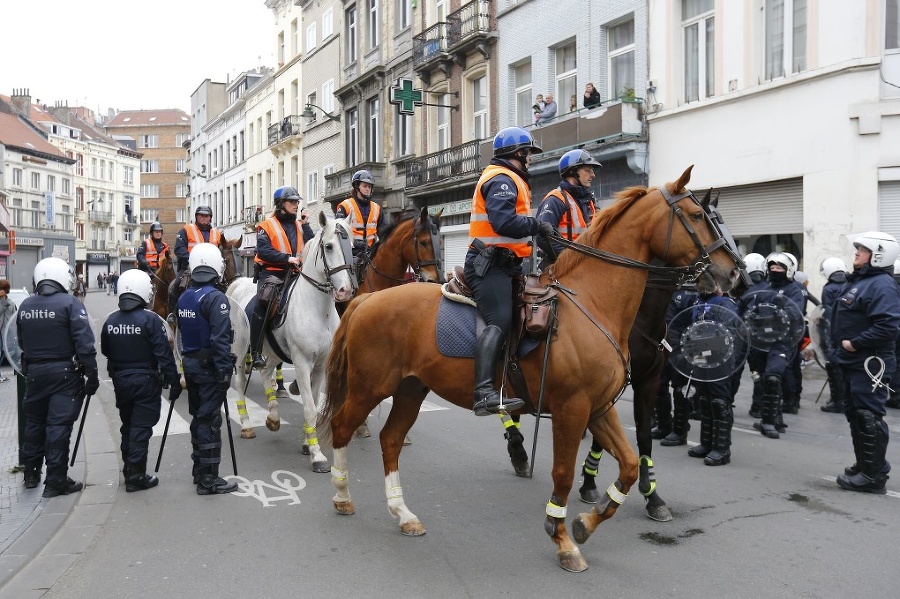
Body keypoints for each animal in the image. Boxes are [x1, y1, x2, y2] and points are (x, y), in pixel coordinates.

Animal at [227, 214, 356, 474]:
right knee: (240, 382)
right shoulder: (302, 362)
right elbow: (309, 408)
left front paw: (308, 444)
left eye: (352, 246)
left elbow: (313, 405)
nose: (345, 291)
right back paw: (246, 425)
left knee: (266, 372)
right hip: (242, 354)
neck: (319, 309)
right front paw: (317, 455)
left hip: (272, 352)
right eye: (329, 246)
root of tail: (237, 283)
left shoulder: (320, 366)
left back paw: (273, 418)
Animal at [320, 168, 740, 572]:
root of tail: (366, 299)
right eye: (697, 216)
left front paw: (587, 522)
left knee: (391, 439)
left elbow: (630, 465)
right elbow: (563, 474)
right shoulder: (572, 409)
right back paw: (341, 495)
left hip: (410, 389)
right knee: (342, 426)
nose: (733, 273)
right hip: (369, 388)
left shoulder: (599, 408)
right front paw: (563, 538)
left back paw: (403, 513)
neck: (593, 302)